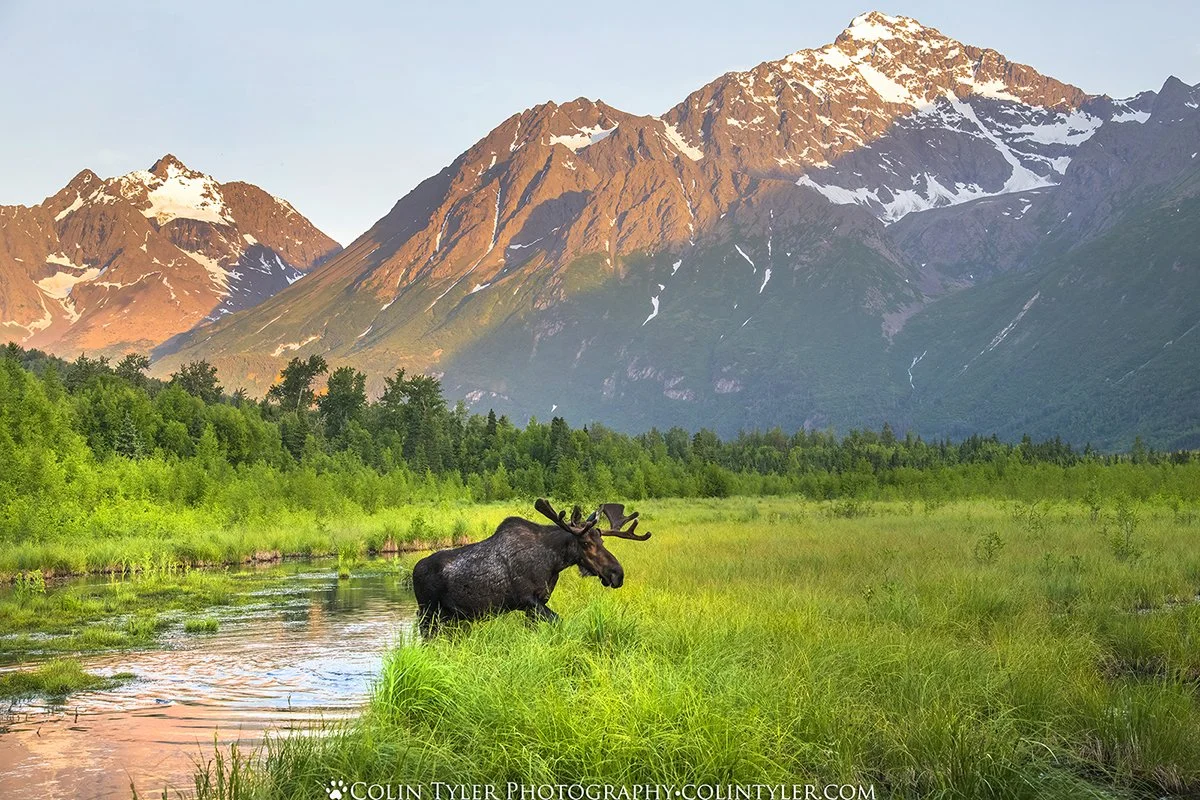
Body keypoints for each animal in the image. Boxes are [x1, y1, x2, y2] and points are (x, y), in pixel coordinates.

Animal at [411, 498, 651, 636]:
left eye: (602, 541)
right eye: (585, 543)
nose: (617, 574)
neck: (554, 563)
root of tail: (413, 571)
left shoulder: (537, 603)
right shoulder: (527, 599)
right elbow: (558, 621)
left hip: (448, 617)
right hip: (428, 613)